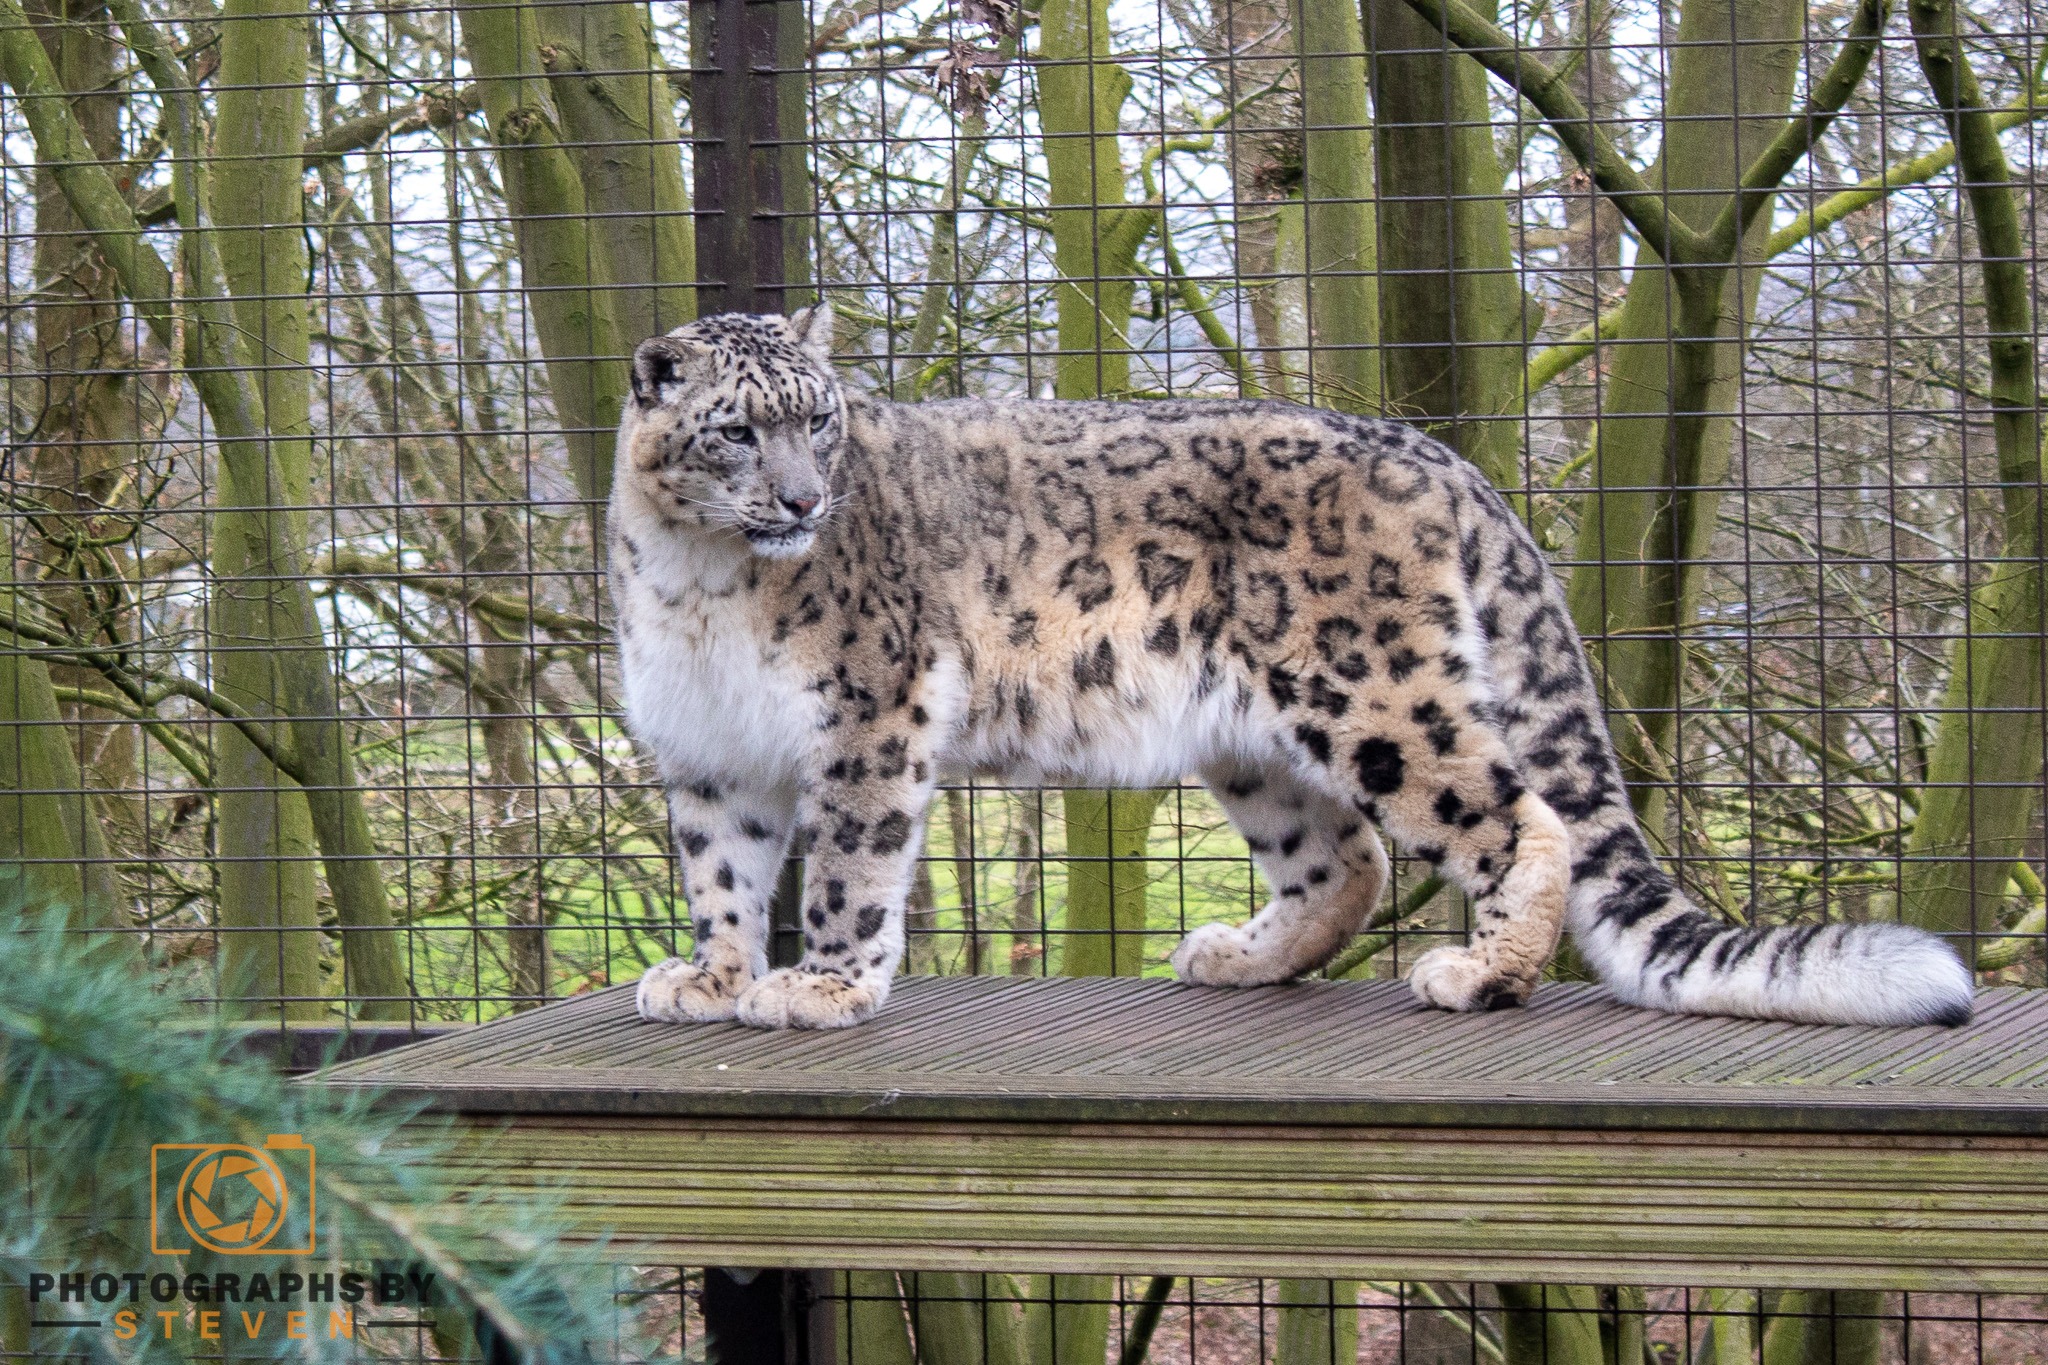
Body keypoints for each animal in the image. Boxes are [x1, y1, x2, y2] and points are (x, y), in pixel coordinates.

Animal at [611, 303, 1974, 1031]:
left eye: (819, 419)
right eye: (737, 430)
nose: (800, 499)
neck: (700, 579)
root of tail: (1430, 452)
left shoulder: (867, 719)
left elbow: (848, 867)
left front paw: (822, 986)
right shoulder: (707, 750)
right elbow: (723, 873)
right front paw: (712, 975)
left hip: (1374, 693)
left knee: (1514, 815)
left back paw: (1481, 971)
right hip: (1250, 736)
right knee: (1344, 857)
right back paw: (1239, 956)